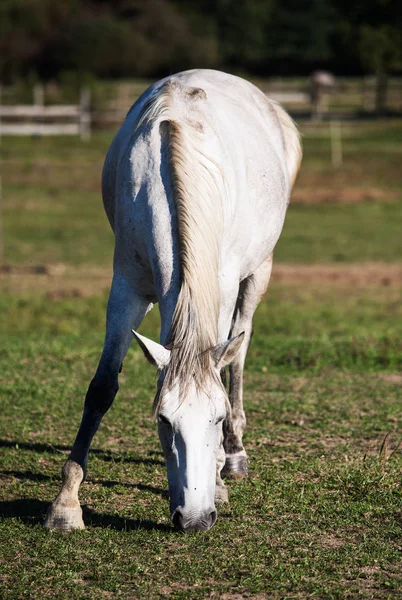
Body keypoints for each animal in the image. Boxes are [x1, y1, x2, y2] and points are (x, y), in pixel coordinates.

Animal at [44, 70, 302, 536]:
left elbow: (224, 367)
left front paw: (219, 476)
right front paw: (65, 504)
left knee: (240, 349)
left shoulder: (222, 291)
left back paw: (235, 454)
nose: (196, 519)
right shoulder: (126, 289)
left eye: (215, 417)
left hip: (259, 272)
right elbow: (101, 388)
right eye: (163, 420)